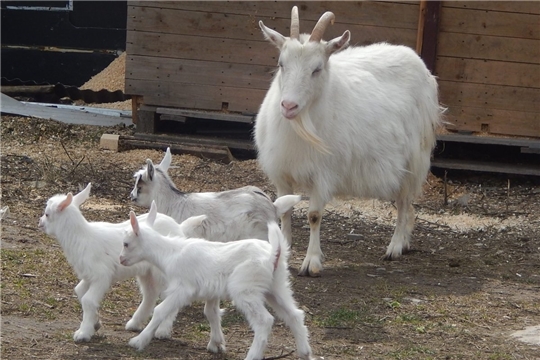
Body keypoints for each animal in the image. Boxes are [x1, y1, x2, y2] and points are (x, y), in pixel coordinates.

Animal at [39, 184, 205, 342]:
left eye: (47, 214)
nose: (40, 222)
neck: (82, 237)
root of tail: (179, 229)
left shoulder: (101, 275)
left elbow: (88, 300)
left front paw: (83, 333)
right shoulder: (88, 276)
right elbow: (80, 292)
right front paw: (95, 324)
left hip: (163, 273)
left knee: (169, 298)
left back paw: (162, 331)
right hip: (146, 272)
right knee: (150, 295)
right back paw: (134, 323)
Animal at [258, 6, 442, 276]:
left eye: (316, 69)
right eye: (281, 64)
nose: (289, 106)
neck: (301, 126)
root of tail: (416, 60)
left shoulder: (323, 173)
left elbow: (314, 215)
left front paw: (312, 262)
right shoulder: (282, 173)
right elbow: (284, 212)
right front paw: (284, 254)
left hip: (414, 159)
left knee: (404, 201)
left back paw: (395, 246)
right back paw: (405, 242)